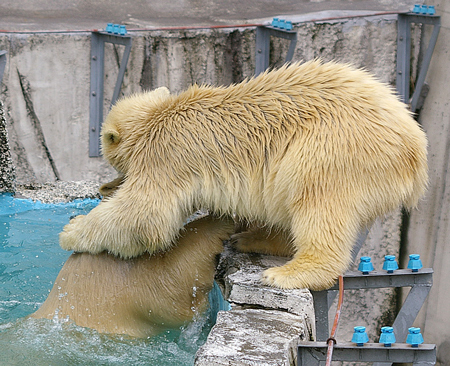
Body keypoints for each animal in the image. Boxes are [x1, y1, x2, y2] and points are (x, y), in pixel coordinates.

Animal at [59, 60, 426, 290]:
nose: (105, 183)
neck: (159, 116)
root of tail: (416, 151)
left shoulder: (168, 155)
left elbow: (145, 215)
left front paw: (73, 230)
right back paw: (250, 238)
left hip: (337, 146)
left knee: (316, 198)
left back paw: (288, 273)